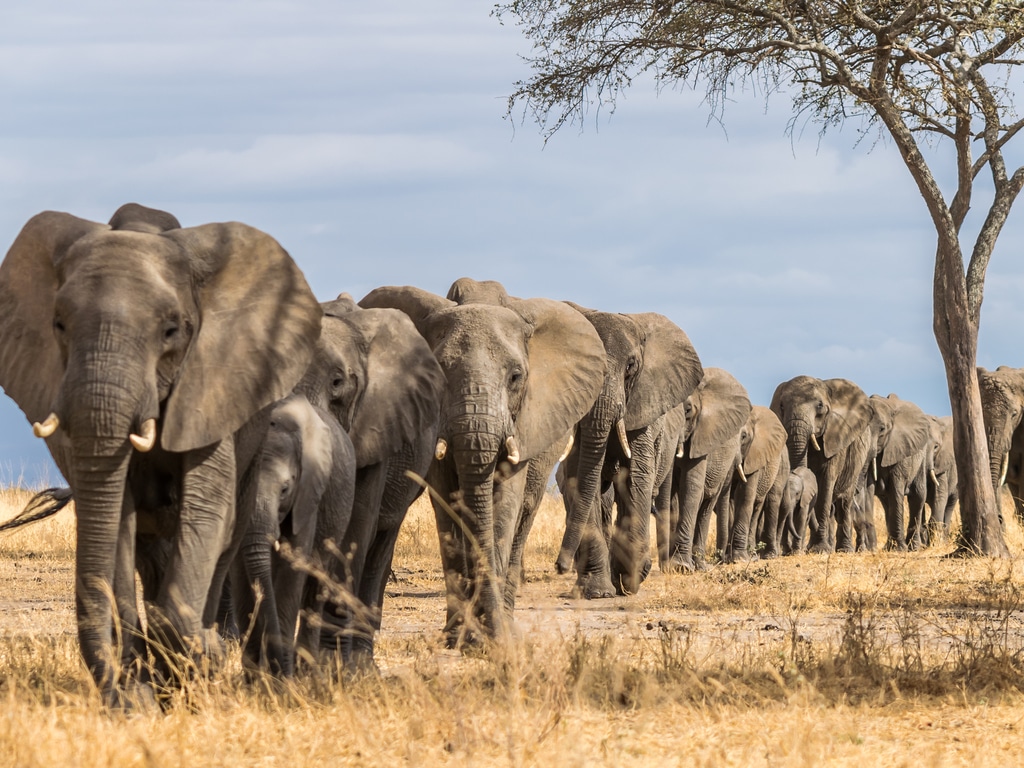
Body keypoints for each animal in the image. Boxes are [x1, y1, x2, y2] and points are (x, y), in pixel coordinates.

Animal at [0, 205, 319, 708]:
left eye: (171, 331)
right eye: (59, 325)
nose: (116, 699)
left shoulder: (211, 388)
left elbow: (206, 511)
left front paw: (200, 662)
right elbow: (117, 518)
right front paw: (142, 695)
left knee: (225, 539)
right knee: (148, 556)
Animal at [233, 393, 356, 675]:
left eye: (285, 490)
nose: (276, 668)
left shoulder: (308, 494)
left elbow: (293, 566)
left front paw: (281, 677)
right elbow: (241, 574)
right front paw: (253, 677)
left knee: (315, 584)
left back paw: (306, 670)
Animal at [358, 286, 602, 647]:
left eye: (515, 377)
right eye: (437, 373)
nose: (493, 642)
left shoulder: (524, 423)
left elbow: (505, 506)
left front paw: (487, 637)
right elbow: (448, 506)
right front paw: (461, 637)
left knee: (524, 514)